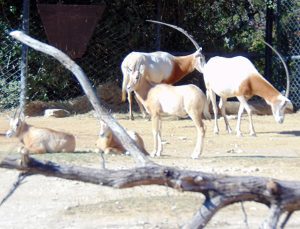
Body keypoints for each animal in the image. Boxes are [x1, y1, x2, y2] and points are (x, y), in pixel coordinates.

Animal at [149, 20, 292, 136]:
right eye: (281, 105)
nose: (281, 120)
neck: (249, 76)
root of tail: (208, 65)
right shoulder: (240, 95)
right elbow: (249, 111)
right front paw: (252, 132)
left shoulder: (245, 97)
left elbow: (241, 112)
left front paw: (239, 131)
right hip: (211, 90)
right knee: (214, 107)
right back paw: (217, 130)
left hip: (224, 94)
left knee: (222, 106)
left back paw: (229, 129)